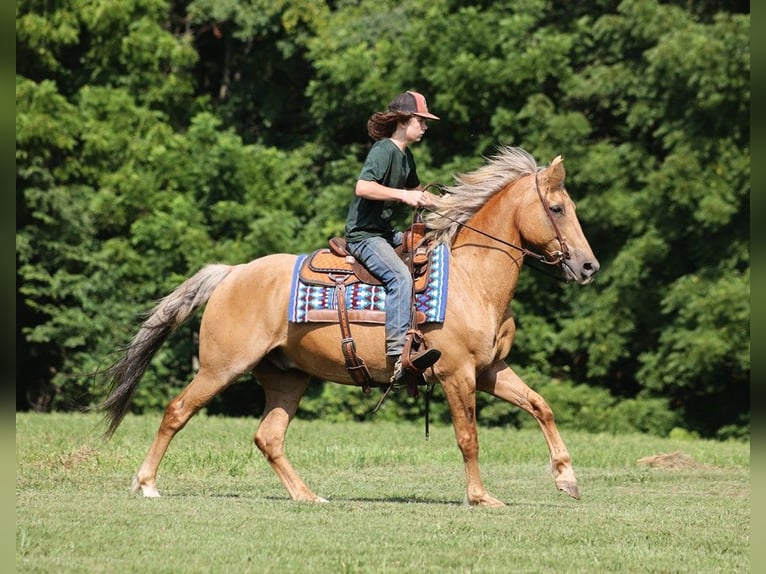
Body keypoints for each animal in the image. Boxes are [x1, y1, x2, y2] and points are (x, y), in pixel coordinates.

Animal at [102, 145, 604, 508]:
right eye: (557, 208)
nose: (588, 266)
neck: (472, 279)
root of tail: (231, 273)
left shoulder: (488, 371)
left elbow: (541, 406)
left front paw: (567, 478)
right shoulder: (456, 373)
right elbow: (469, 437)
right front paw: (482, 497)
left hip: (287, 377)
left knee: (269, 437)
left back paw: (307, 496)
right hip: (220, 368)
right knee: (176, 411)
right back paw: (146, 484)